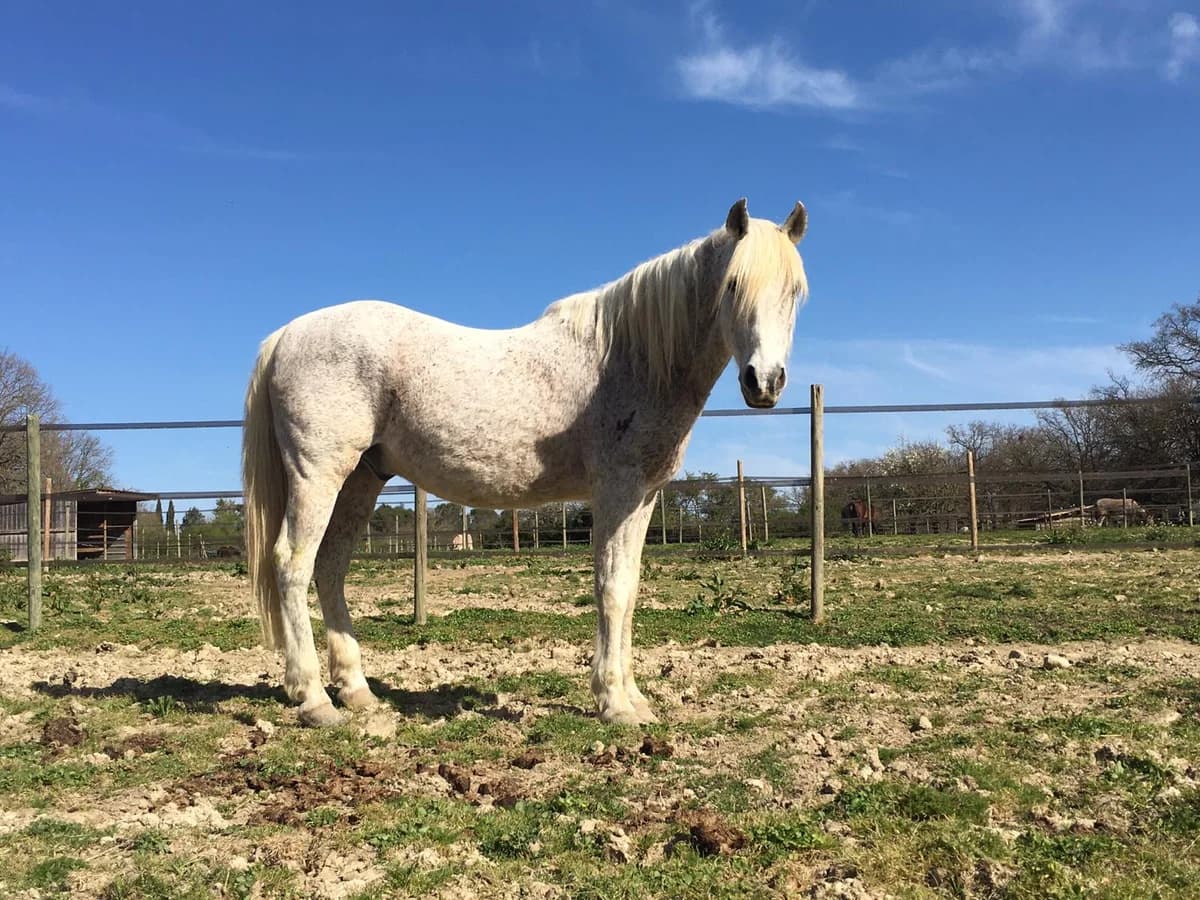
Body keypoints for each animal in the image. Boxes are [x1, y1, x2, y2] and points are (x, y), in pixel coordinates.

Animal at [243, 199, 809, 727]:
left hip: (363, 478)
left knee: (330, 567)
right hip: (318, 475)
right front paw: (613, 703)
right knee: (292, 563)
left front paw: (634, 699)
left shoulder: (644, 497)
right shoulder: (617, 490)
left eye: (795, 292)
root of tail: (285, 335)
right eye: (732, 285)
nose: (764, 382)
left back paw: (357, 691)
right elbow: (610, 589)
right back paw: (314, 699)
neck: (633, 358)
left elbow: (628, 591)